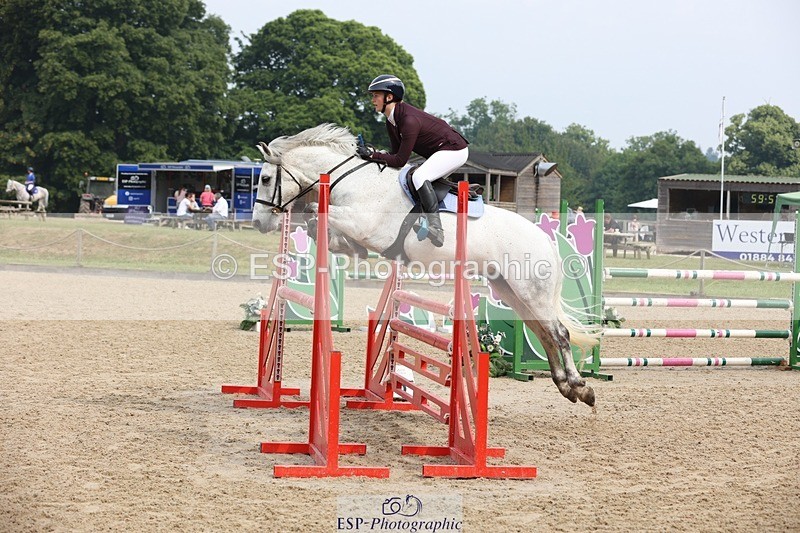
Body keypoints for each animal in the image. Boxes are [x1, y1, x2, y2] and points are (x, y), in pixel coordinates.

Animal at [251, 123, 599, 406]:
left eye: (266, 179)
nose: (258, 223)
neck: (357, 184)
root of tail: (545, 240)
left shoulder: (363, 224)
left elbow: (316, 212)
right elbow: (338, 239)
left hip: (530, 291)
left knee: (559, 333)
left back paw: (581, 386)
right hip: (511, 290)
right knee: (543, 332)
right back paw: (565, 386)